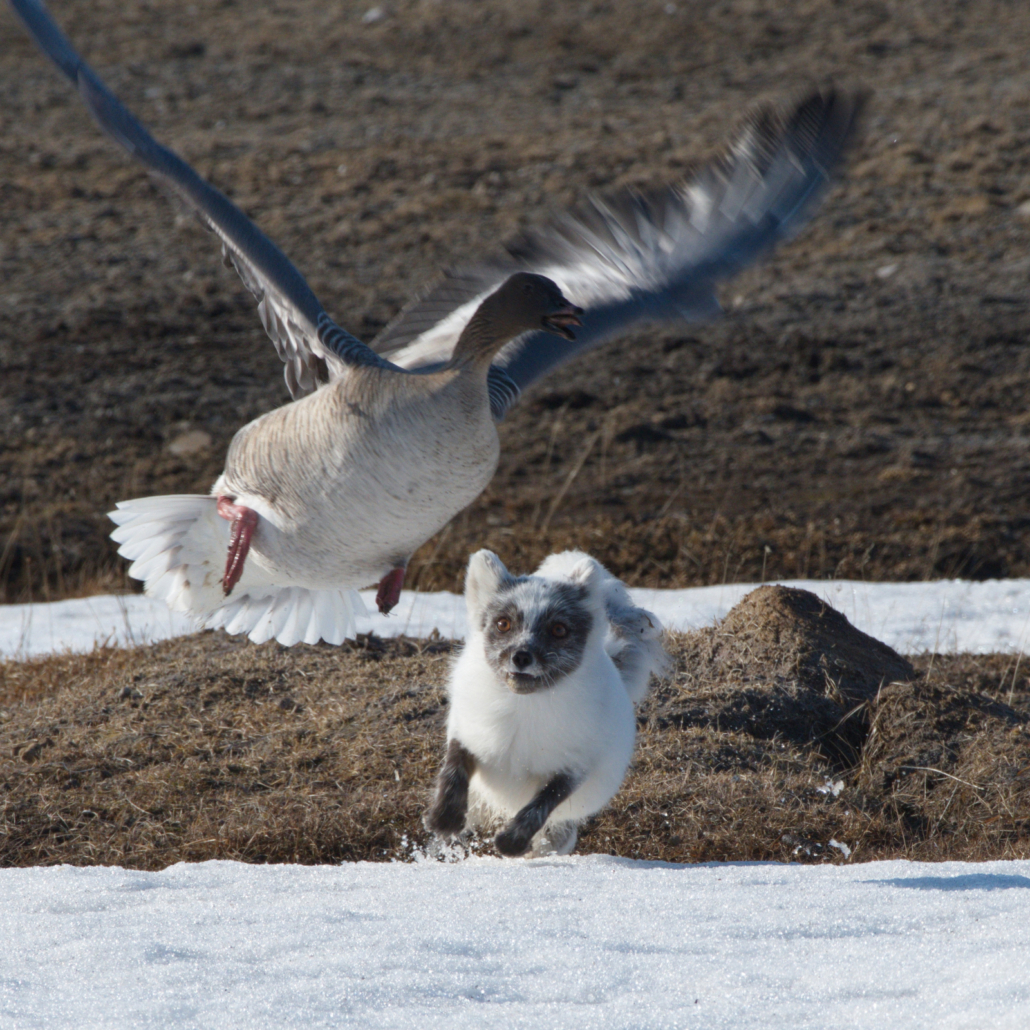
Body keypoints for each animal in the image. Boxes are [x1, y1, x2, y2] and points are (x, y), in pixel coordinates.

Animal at [424, 552, 667, 856]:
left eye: (558, 629)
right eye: (503, 623)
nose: (521, 656)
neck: (523, 710)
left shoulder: (574, 768)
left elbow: (540, 805)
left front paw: (511, 842)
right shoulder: (466, 734)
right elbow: (452, 770)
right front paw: (444, 818)